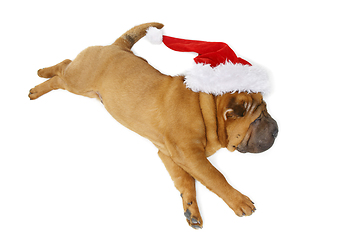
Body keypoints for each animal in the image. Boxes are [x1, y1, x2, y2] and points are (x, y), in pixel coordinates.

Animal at [30, 22, 278, 229]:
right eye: (257, 118)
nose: (277, 129)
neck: (206, 109)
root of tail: (116, 46)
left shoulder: (170, 154)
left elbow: (186, 181)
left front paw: (191, 211)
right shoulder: (191, 155)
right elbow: (215, 176)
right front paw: (239, 201)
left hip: (85, 87)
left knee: (64, 68)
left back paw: (42, 75)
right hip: (79, 80)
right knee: (61, 72)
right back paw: (38, 84)